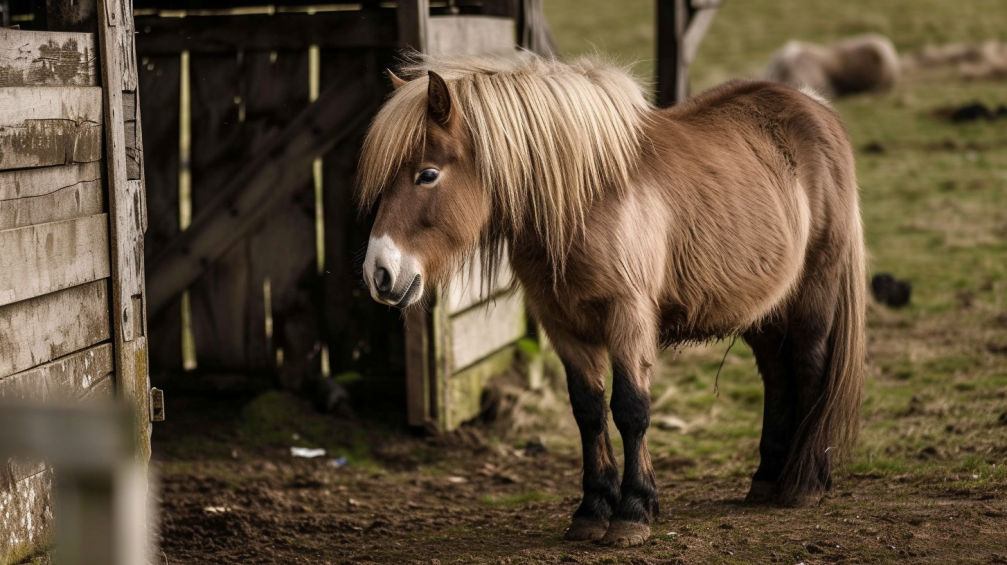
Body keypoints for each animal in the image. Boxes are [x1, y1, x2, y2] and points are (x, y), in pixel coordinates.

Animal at [357, 53, 866, 547]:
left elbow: (631, 410)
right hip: (766, 313)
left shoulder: (628, 318)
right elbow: (588, 411)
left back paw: (805, 485)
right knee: (778, 376)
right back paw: (767, 479)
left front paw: (633, 513)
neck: (588, 201)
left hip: (813, 297)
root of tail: (818, 108)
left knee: (809, 367)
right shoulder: (561, 324)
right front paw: (592, 511)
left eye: (427, 174)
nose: (379, 274)